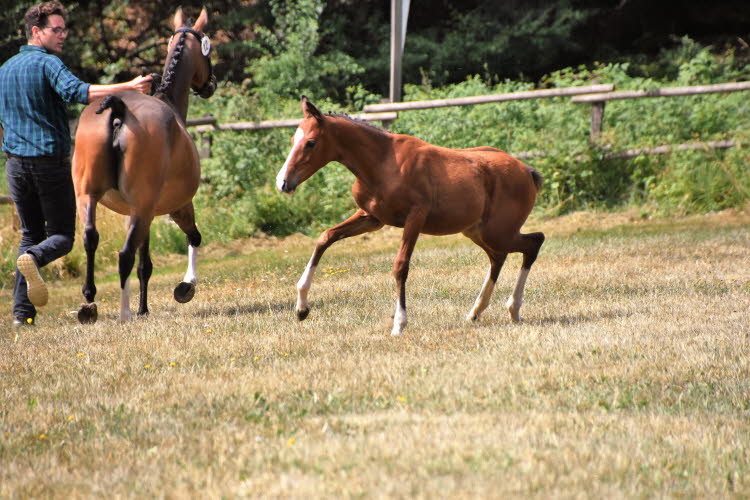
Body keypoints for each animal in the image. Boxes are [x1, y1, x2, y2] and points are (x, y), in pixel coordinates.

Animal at [72, 8, 217, 324]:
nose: (211, 84)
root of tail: (119, 109)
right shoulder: (176, 207)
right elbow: (192, 239)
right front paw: (185, 287)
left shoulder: (138, 214)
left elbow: (144, 264)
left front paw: (144, 307)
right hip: (143, 207)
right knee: (125, 254)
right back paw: (125, 312)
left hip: (88, 197)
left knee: (90, 238)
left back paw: (89, 302)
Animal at [276, 96, 548, 336]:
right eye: (292, 139)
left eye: (311, 142)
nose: (283, 183)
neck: (383, 163)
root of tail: (526, 170)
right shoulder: (371, 218)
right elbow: (325, 237)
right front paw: (301, 309)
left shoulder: (415, 216)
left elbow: (400, 266)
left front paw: (399, 324)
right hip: (478, 231)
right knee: (499, 257)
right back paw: (476, 312)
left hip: (497, 232)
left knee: (534, 242)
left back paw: (513, 309)